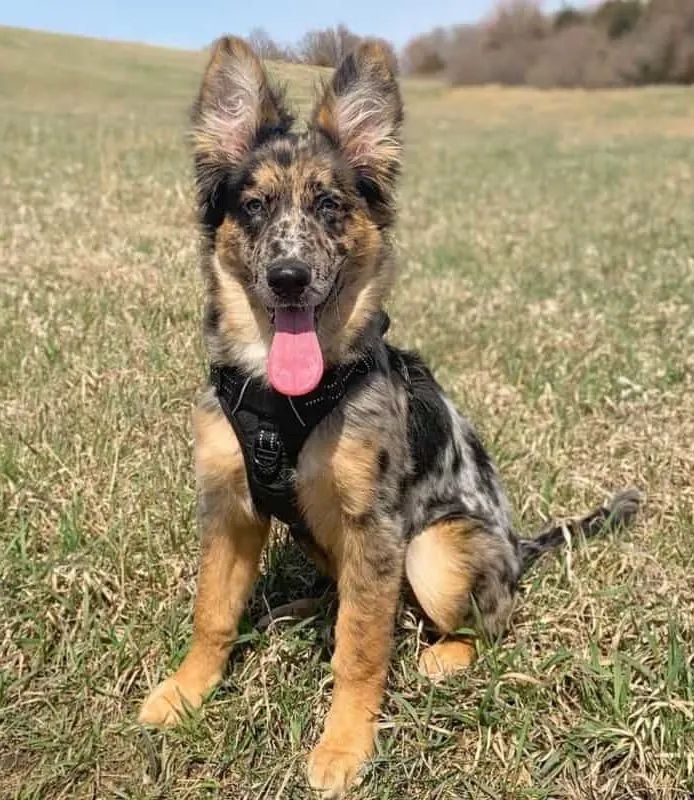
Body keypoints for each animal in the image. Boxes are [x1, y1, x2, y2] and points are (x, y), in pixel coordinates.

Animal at [139, 39, 644, 800]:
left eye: (329, 205)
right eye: (253, 207)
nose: (288, 277)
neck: (283, 399)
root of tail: (519, 546)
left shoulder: (374, 528)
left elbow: (360, 649)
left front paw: (345, 746)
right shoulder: (229, 508)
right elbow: (213, 614)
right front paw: (185, 692)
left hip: (432, 552)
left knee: (485, 622)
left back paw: (442, 655)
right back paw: (302, 609)